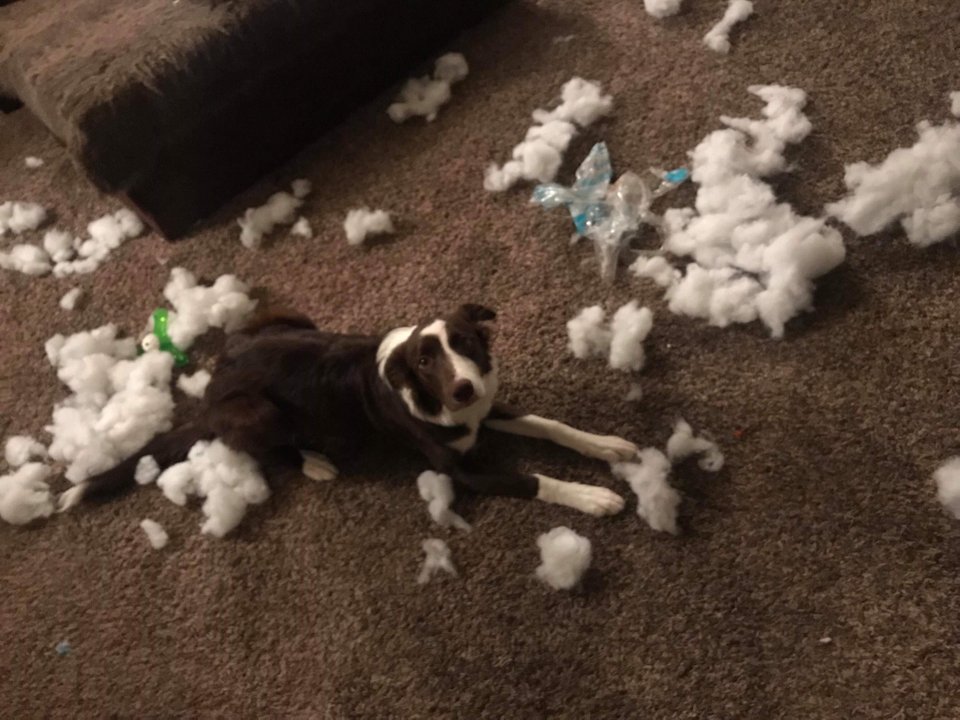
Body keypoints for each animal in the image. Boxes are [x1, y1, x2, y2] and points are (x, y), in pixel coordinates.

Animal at [67, 304, 636, 516]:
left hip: (289, 317)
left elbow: (551, 425)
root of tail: (210, 393)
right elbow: (533, 479)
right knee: (266, 448)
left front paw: (608, 446)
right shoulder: (460, 470)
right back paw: (314, 463)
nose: (463, 390)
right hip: (258, 413)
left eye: (466, 342)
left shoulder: (487, 410)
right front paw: (592, 496)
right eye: (425, 361)